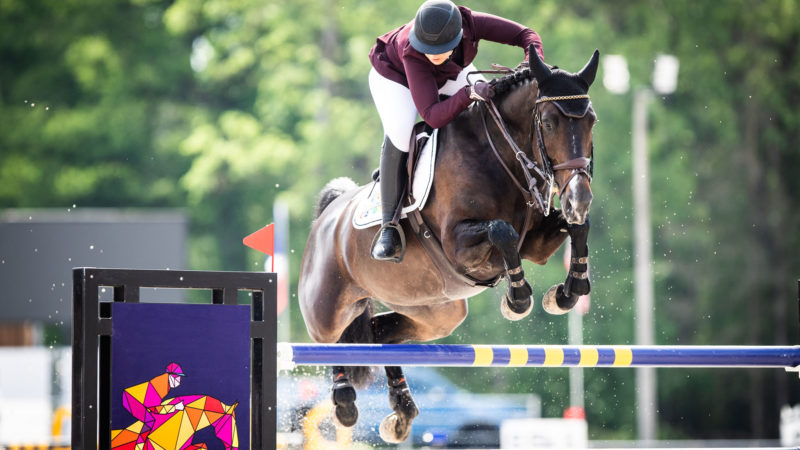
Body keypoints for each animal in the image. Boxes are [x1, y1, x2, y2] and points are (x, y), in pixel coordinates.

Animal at [296, 46, 596, 442]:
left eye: (591, 122)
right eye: (547, 123)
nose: (579, 197)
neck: (499, 153)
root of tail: (328, 215)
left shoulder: (537, 242)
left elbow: (576, 229)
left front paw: (566, 293)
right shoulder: (459, 244)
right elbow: (502, 231)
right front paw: (517, 300)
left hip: (436, 313)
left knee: (379, 334)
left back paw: (402, 411)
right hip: (326, 309)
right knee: (331, 342)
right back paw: (345, 402)